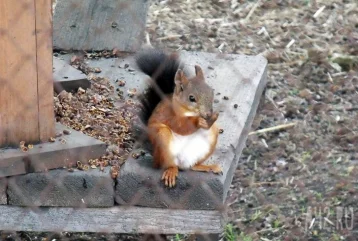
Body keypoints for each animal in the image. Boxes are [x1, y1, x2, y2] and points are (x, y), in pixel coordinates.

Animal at [134, 48, 221, 188]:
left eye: (211, 92)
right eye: (191, 98)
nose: (208, 114)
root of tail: (183, 162)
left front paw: (211, 119)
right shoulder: (168, 115)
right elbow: (181, 126)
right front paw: (198, 121)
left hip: (209, 140)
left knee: (193, 166)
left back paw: (207, 167)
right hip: (163, 141)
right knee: (168, 164)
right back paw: (171, 171)